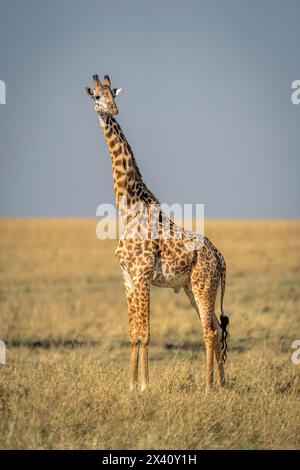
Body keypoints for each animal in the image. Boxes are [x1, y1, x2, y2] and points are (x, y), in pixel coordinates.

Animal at [85, 74, 230, 392]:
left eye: (113, 95)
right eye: (97, 97)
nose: (112, 110)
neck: (128, 208)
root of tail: (220, 258)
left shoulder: (142, 275)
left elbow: (145, 333)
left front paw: (144, 387)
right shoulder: (127, 277)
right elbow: (133, 333)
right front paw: (130, 386)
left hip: (203, 284)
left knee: (210, 330)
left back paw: (208, 387)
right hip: (192, 286)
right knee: (216, 327)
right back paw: (223, 384)